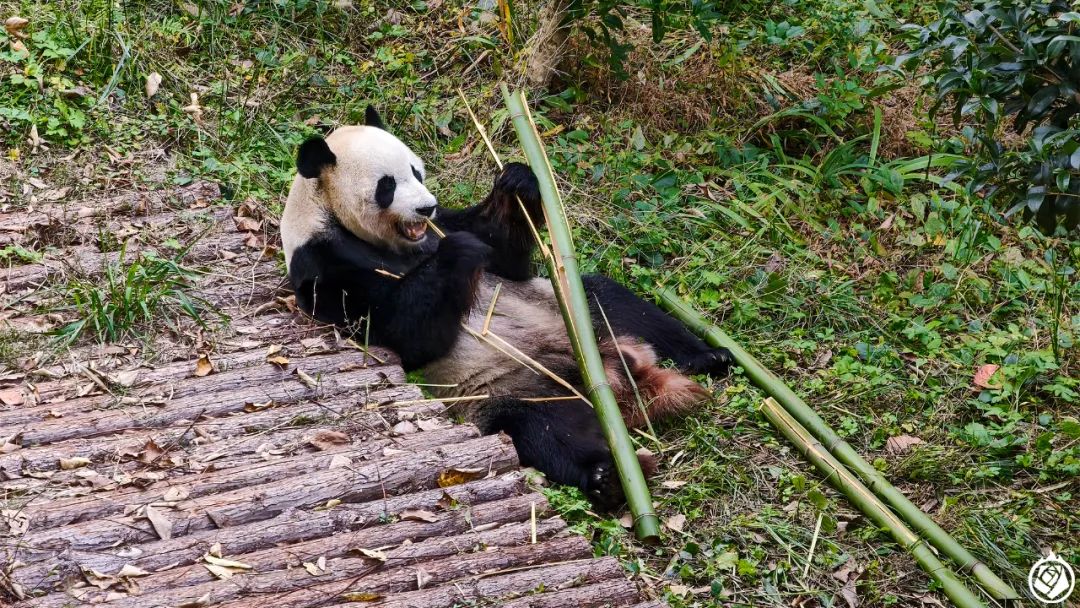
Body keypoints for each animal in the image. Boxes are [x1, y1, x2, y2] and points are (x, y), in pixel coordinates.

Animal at [280, 107, 732, 508]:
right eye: (386, 185)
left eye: (416, 171)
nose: (425, 207)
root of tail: (619, 378)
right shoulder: (326, 268)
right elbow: (405, 332)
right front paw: (459, 252)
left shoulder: (449, 224)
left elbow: (504, 256)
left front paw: (517, 182)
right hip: (509, 386)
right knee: (545, 428)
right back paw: (607, 479)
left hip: (570, 311)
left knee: (615, 302)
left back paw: (708, 356)